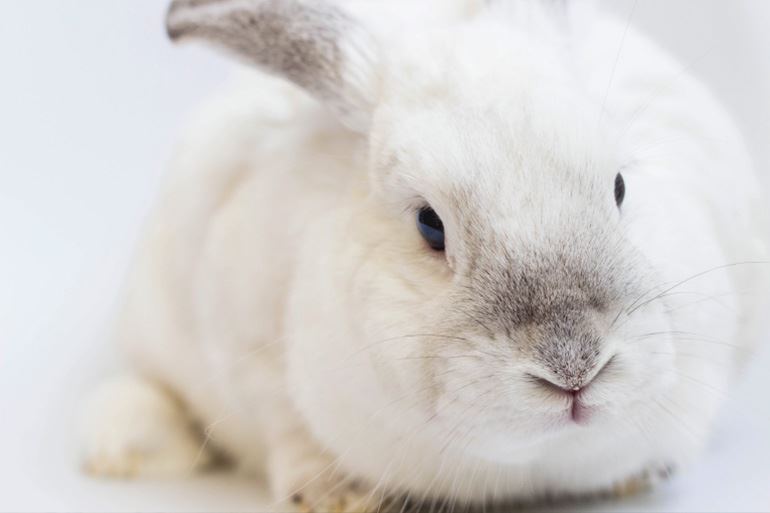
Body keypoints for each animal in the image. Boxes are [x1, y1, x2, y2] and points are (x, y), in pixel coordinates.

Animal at [81, 0, 770, 510]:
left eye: (621, 186)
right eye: (429, 225)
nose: (574, 368)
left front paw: (640, 475)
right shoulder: (246, 345)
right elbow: (286, 427)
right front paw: (336, 494)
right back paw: (118, 451)